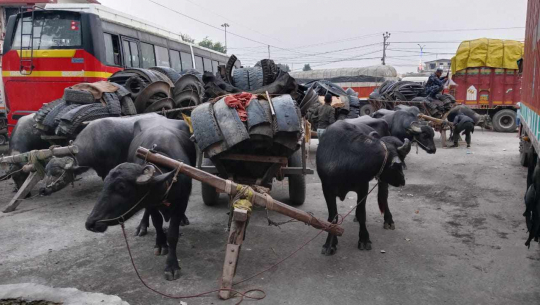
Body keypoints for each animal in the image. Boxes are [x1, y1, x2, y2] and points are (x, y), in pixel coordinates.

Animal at [87, 122, 197, 280]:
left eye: (121, 187)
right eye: (105, 183)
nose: (90, 223)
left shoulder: (181, 201)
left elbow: (172, 234)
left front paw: (171, 265)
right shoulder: (150, 203)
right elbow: (157, 223)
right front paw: (160, 244)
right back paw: (142, 226)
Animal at [314, 120, 412, 253]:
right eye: (399, 165)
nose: (403, 180)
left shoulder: (363, 188)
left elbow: (362, 213)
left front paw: (364, 239)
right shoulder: (327, 189)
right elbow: (333, 216)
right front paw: (330, 244)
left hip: (383, 181)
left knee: (383, 196)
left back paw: (389, 221)